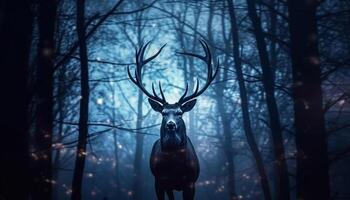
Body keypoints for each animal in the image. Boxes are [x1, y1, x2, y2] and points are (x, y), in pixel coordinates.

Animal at [127, 39, 217, 199]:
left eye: (180, 113)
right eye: (163, 113)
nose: (170, 124)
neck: (175, 168)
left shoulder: (190, 182)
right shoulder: (160, 181)